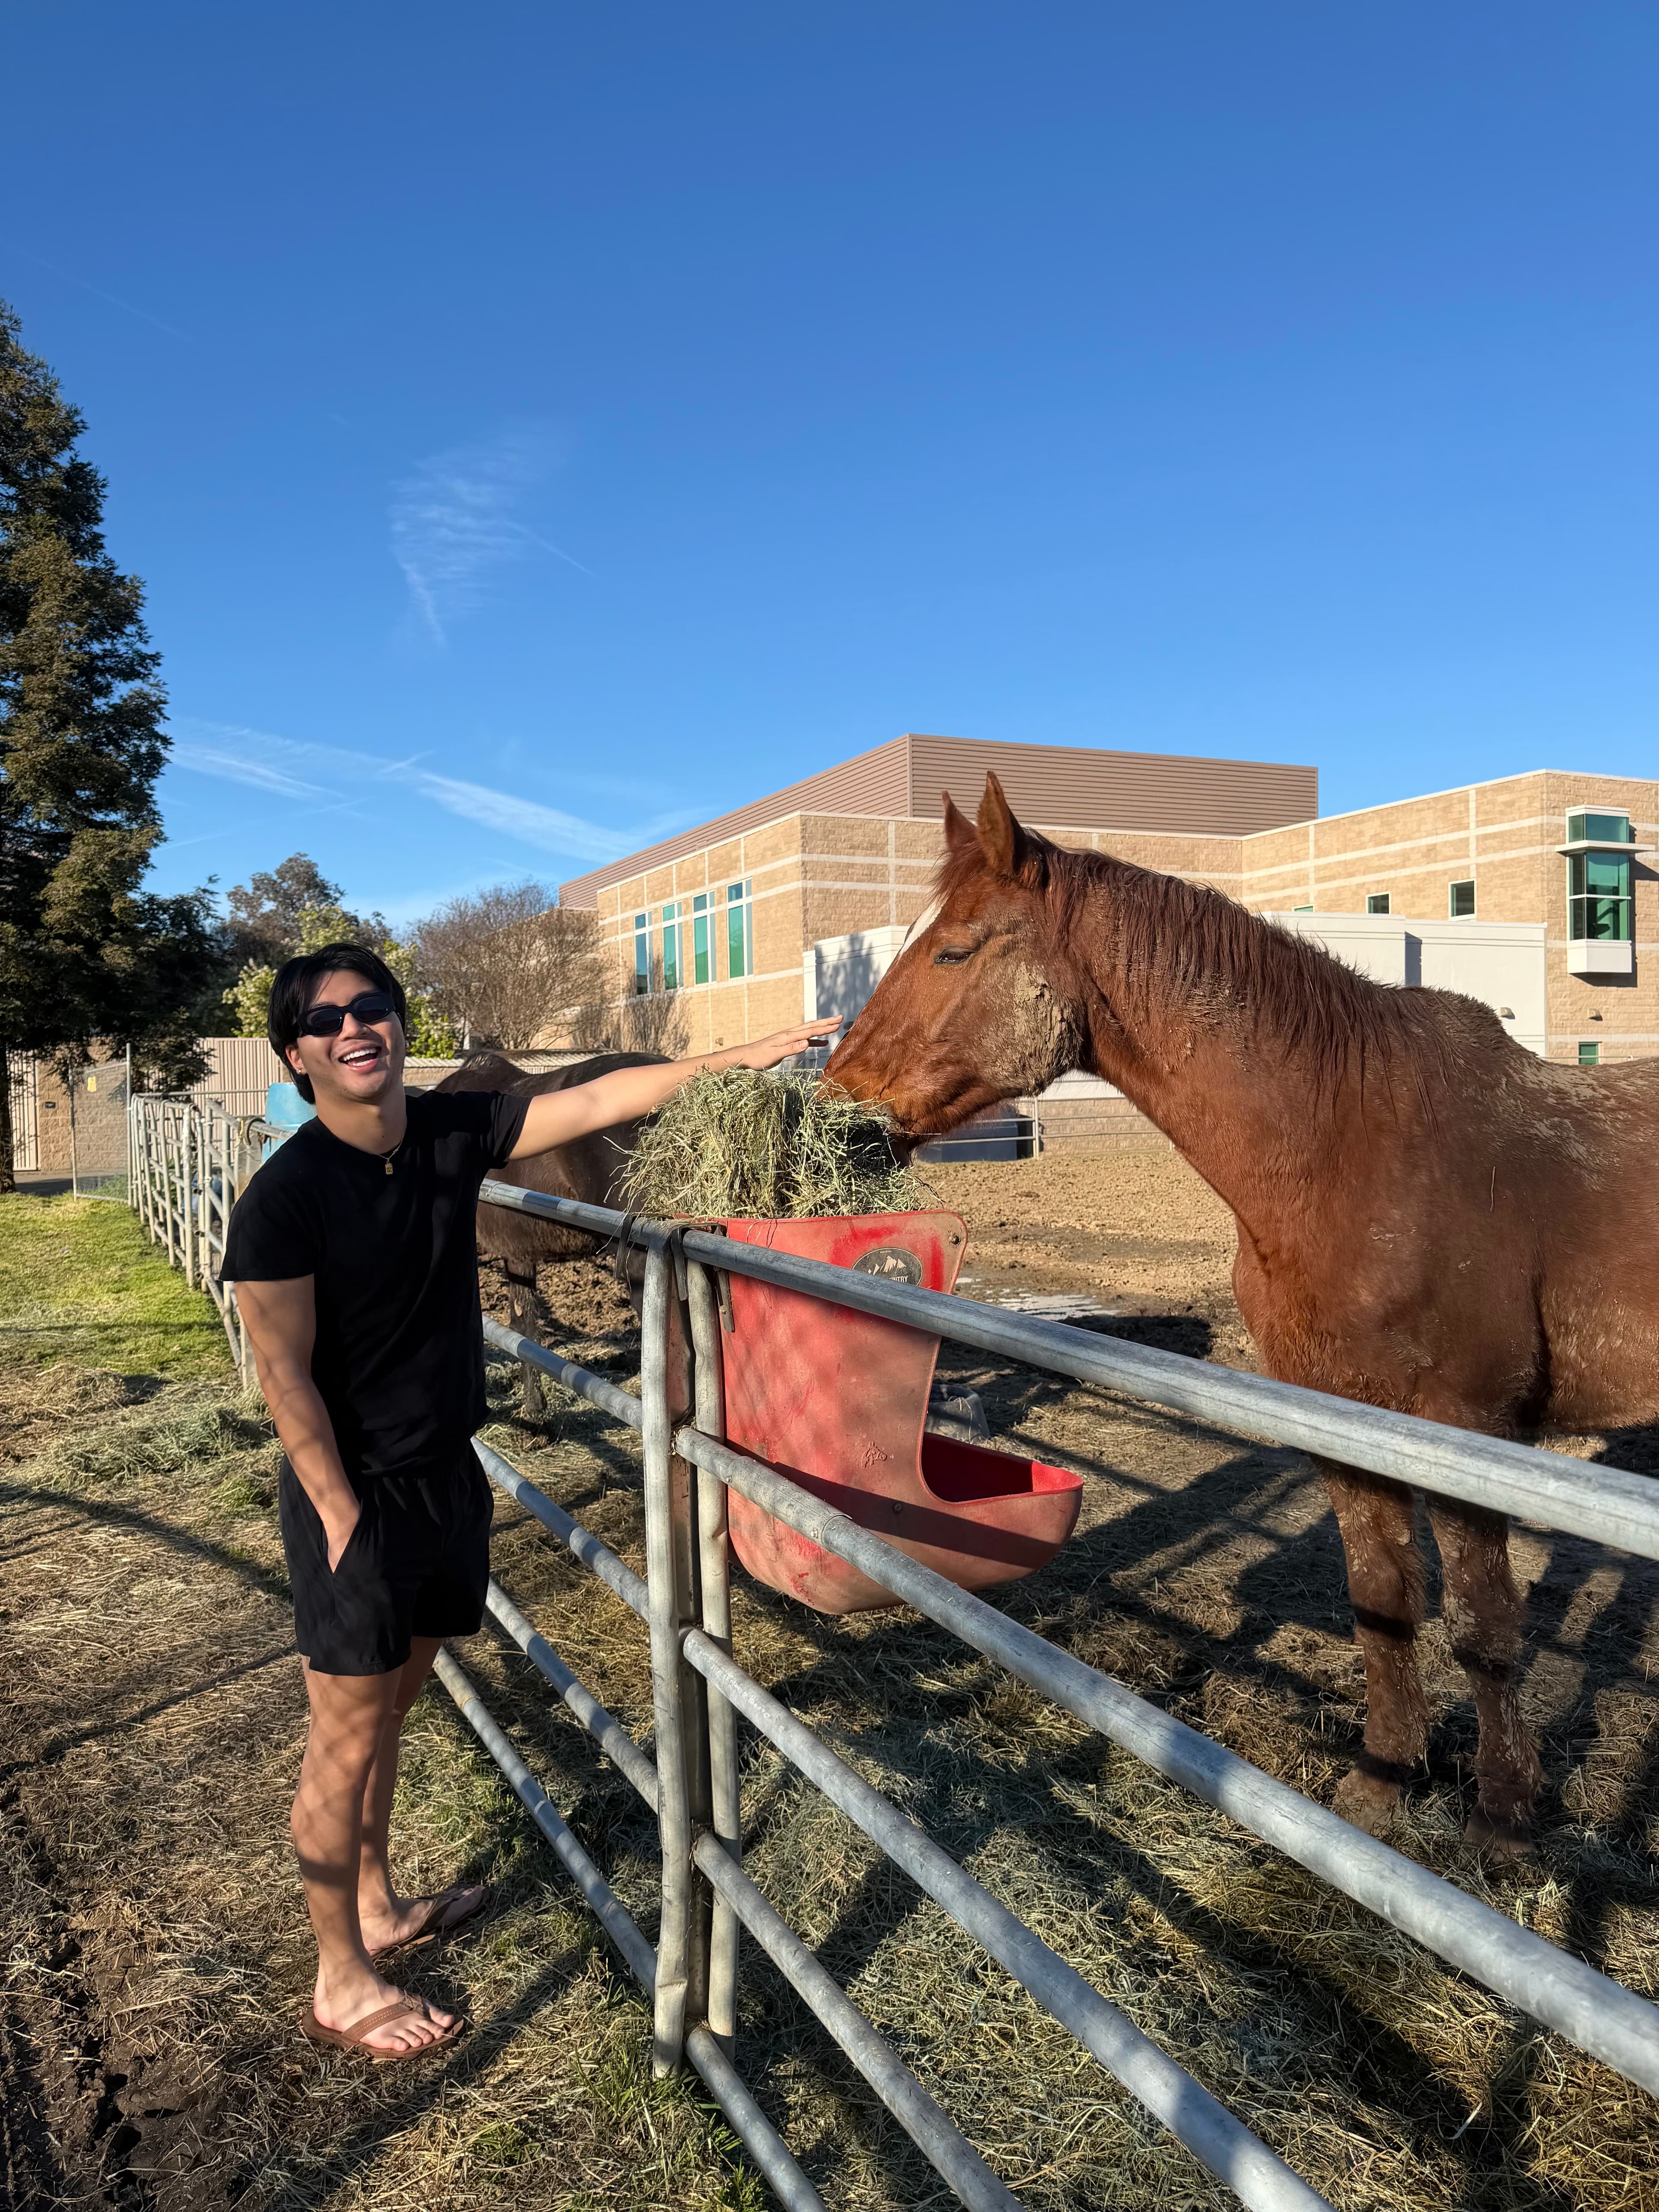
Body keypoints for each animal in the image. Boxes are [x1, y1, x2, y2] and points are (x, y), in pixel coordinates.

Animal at [824, 772, 1659, 1852]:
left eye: (956, 948)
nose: (839, 1103)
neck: (1354, 1152)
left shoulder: (1472, 1435)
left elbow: (1485, 1627)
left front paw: (1505, 1823)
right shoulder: (1347, 1433)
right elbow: (1382, 1602)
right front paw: (1384, 1782)